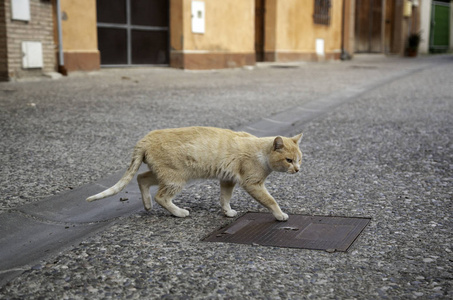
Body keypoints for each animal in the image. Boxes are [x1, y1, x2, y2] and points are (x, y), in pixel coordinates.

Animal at [86, 125, 302, 221]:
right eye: (288, 160)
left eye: (299, 159)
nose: (298, 170)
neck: (261, 152)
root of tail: (146, 138)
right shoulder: (253, 184)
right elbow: (270, 200)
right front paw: (280, 215)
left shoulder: (227, 180)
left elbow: (225, 198)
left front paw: (227, 212)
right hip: (176, 178)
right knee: (161, 197)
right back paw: (179, 212)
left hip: (163, 174)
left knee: (141, 179)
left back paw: (147, 205)